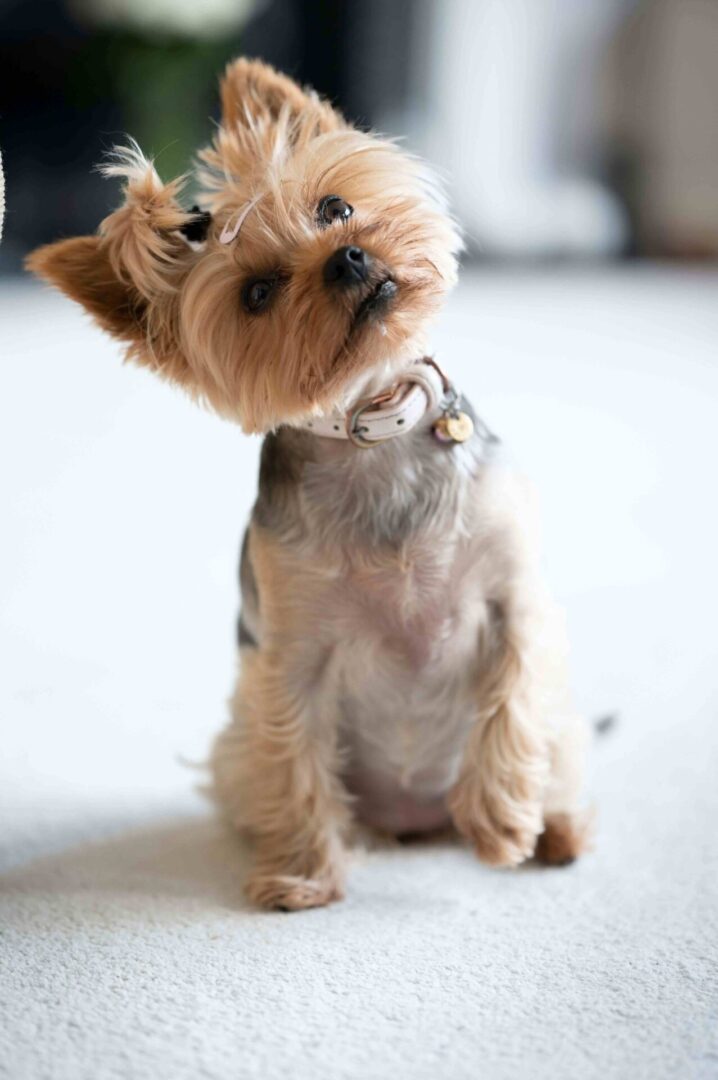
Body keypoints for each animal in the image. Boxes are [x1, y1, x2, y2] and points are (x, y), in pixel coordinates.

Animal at [28, 56, 587, 902]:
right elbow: (293, 753)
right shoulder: (291, 651)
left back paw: (555, 830)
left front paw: (500, 827)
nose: (346, 255)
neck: (372, 424)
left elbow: (512, 703)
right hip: (236, 744)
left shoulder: (511, 602)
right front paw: (301, 875)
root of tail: (417, 824)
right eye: (257, 292)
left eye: (335, 207)